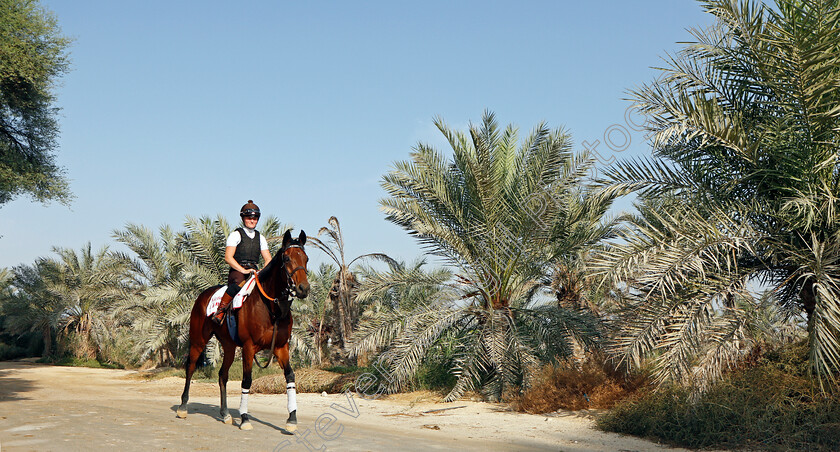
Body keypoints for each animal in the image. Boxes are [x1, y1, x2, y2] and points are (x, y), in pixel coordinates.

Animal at [177, 230, 312, 430]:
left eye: (306, 258)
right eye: (287, 258)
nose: (303, 288)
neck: (271, 308)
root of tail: (203, 295)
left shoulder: (281, 347)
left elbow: (290, 377)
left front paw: (292, 419)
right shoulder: (249, 347)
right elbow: (246, 380)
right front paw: (245, 418)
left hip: (229, 346)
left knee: (222, 375)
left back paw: (225, 414)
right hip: (198, 341)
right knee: (191, 367)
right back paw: (183, 407)